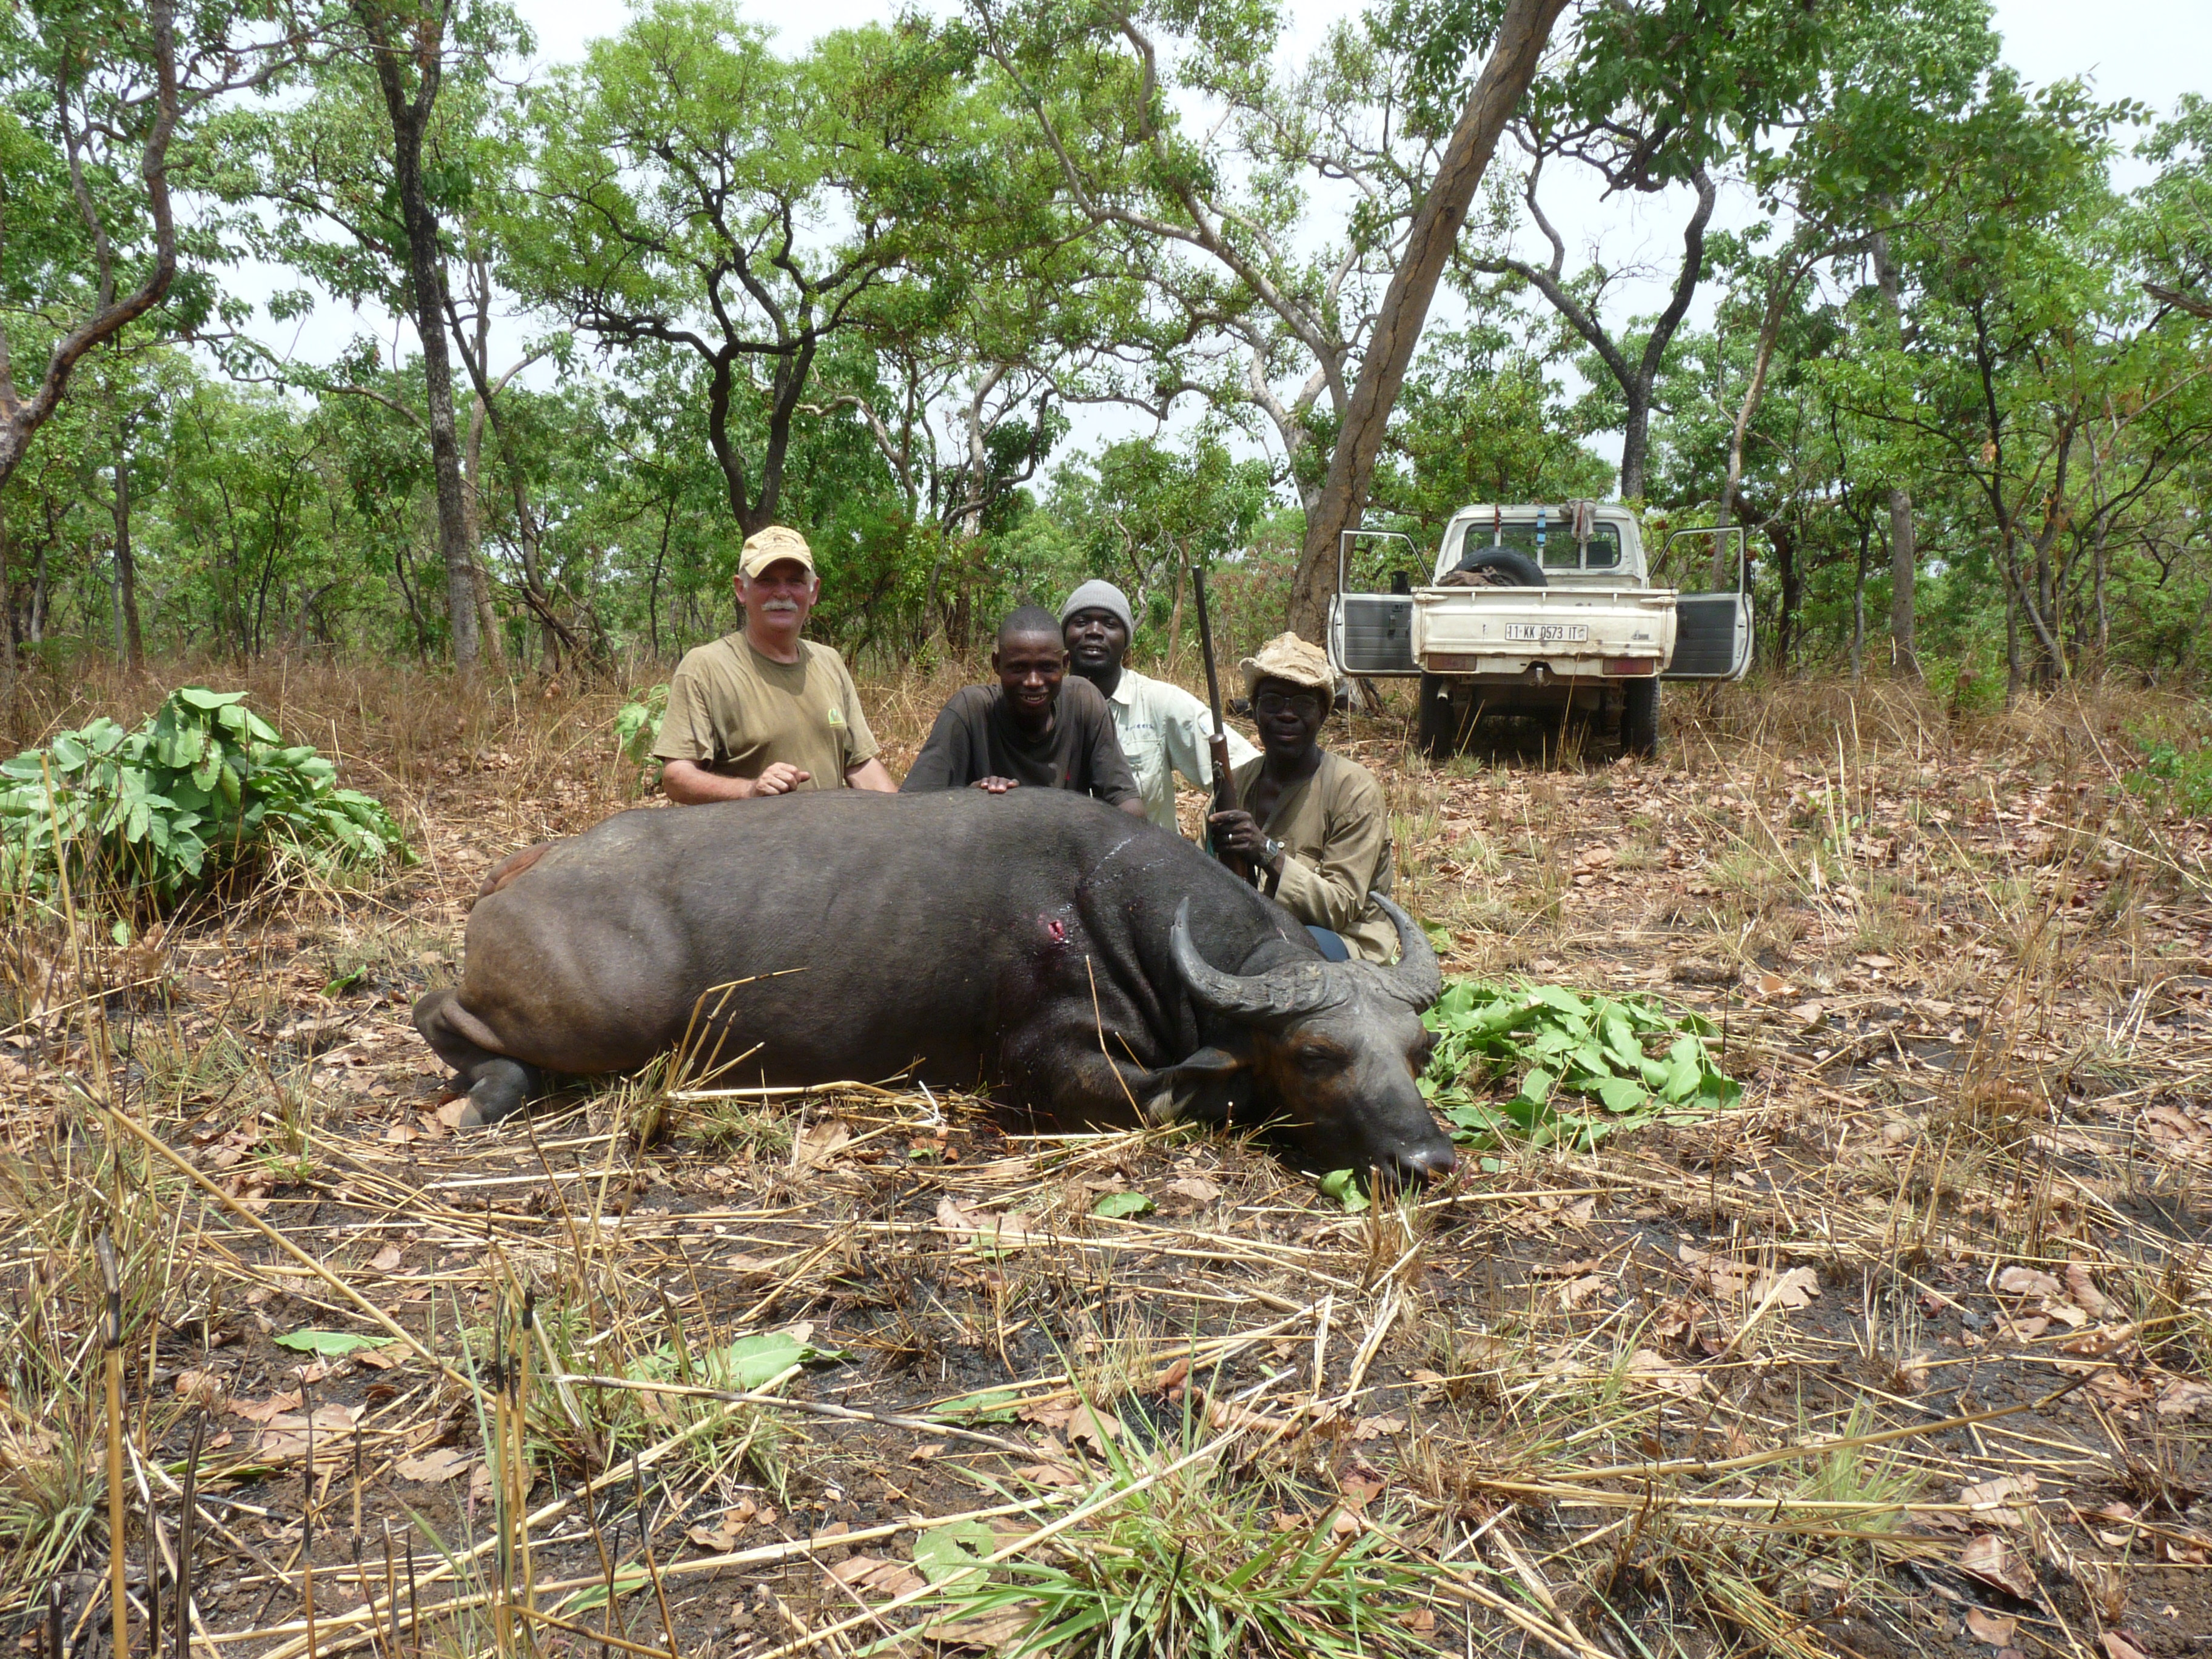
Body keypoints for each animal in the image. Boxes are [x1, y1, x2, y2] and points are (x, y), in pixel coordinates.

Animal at [418, 787, 1451, 1185]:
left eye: (1418, 1050)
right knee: (438, 1013)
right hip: (606, 1015)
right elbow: (1173, 1100)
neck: (1114, 901)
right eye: (1316, 1054)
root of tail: (528, 866)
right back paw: (488, 1096)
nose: (1429, 1160)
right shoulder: (1053, 1065)